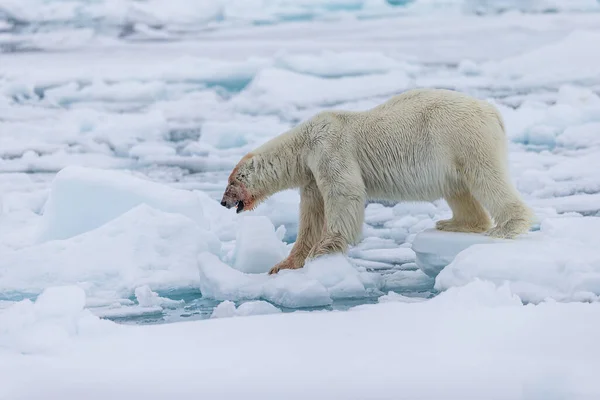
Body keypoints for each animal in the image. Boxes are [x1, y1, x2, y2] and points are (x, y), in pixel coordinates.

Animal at [220, 87, 536, 276]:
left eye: (232, 182)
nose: (223, 202)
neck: (303, 142)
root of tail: (493, 112)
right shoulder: (311, 173)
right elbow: (312, 212)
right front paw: (285, 264)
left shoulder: (330, 149)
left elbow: (344, 193)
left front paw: (324, 250)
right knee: (458, 189)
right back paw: (453, 223)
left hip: (462, 136)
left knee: (486, 177)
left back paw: (507, 226)